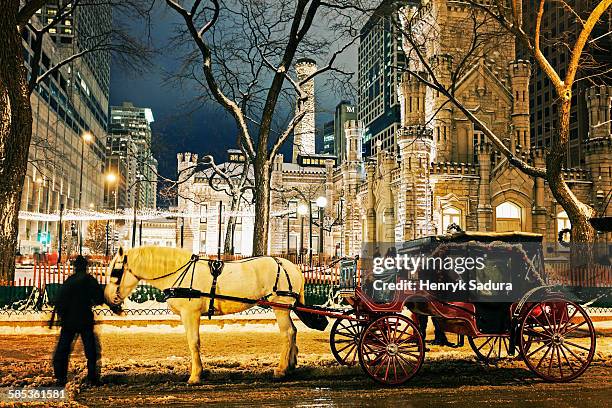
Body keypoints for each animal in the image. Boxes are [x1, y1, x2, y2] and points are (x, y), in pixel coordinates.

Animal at [106, 245, 306, 386]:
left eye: (115, 272)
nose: (107, 299)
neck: (180, 273)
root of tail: (291, 266)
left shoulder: (190, 314)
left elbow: (194, 342)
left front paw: (195, 375)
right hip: (285, 308)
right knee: (293, 331)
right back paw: (291, 365)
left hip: (280, 308)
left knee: (287, 333)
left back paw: (281, 369)